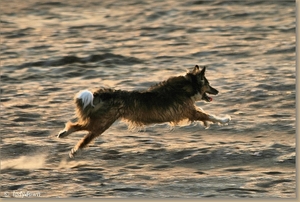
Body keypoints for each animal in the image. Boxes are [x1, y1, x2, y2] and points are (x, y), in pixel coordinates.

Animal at [57, 65, 231, 158]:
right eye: (208, 84)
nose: (217, 91)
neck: (188, 85)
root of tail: (105, 93)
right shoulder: (189, 111)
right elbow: (210, 115)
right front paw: (225, 119)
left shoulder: (190, 112)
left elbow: (205, 115)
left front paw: (207, 124)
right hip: (101, 124)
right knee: (81, 133)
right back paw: (73, 149)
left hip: (99, 122)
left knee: (77, 126)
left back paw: (63, 135)